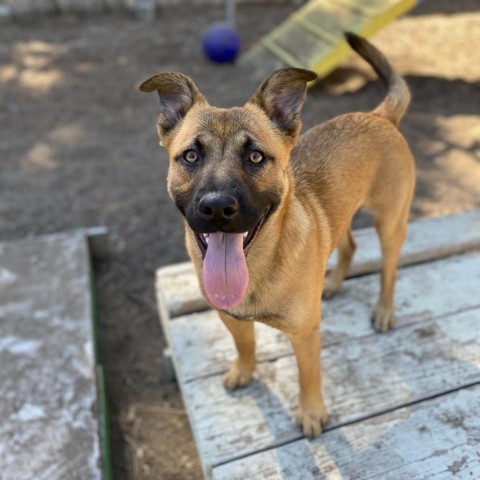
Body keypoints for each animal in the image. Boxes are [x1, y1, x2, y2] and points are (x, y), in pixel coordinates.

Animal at [140, 33, 416, 438]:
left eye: (256, 157)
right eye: (190, 156)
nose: (217, 208)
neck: (256, 268)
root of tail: (378, 115)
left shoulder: (305, 334)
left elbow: (308, 375)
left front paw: (312, 412)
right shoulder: (230, 317)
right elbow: (245, 347)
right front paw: (243, 371)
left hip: (390, 222)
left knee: (390, 269)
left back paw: (383, 310)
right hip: (341, 216)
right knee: (349, 245)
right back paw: (332, 283)